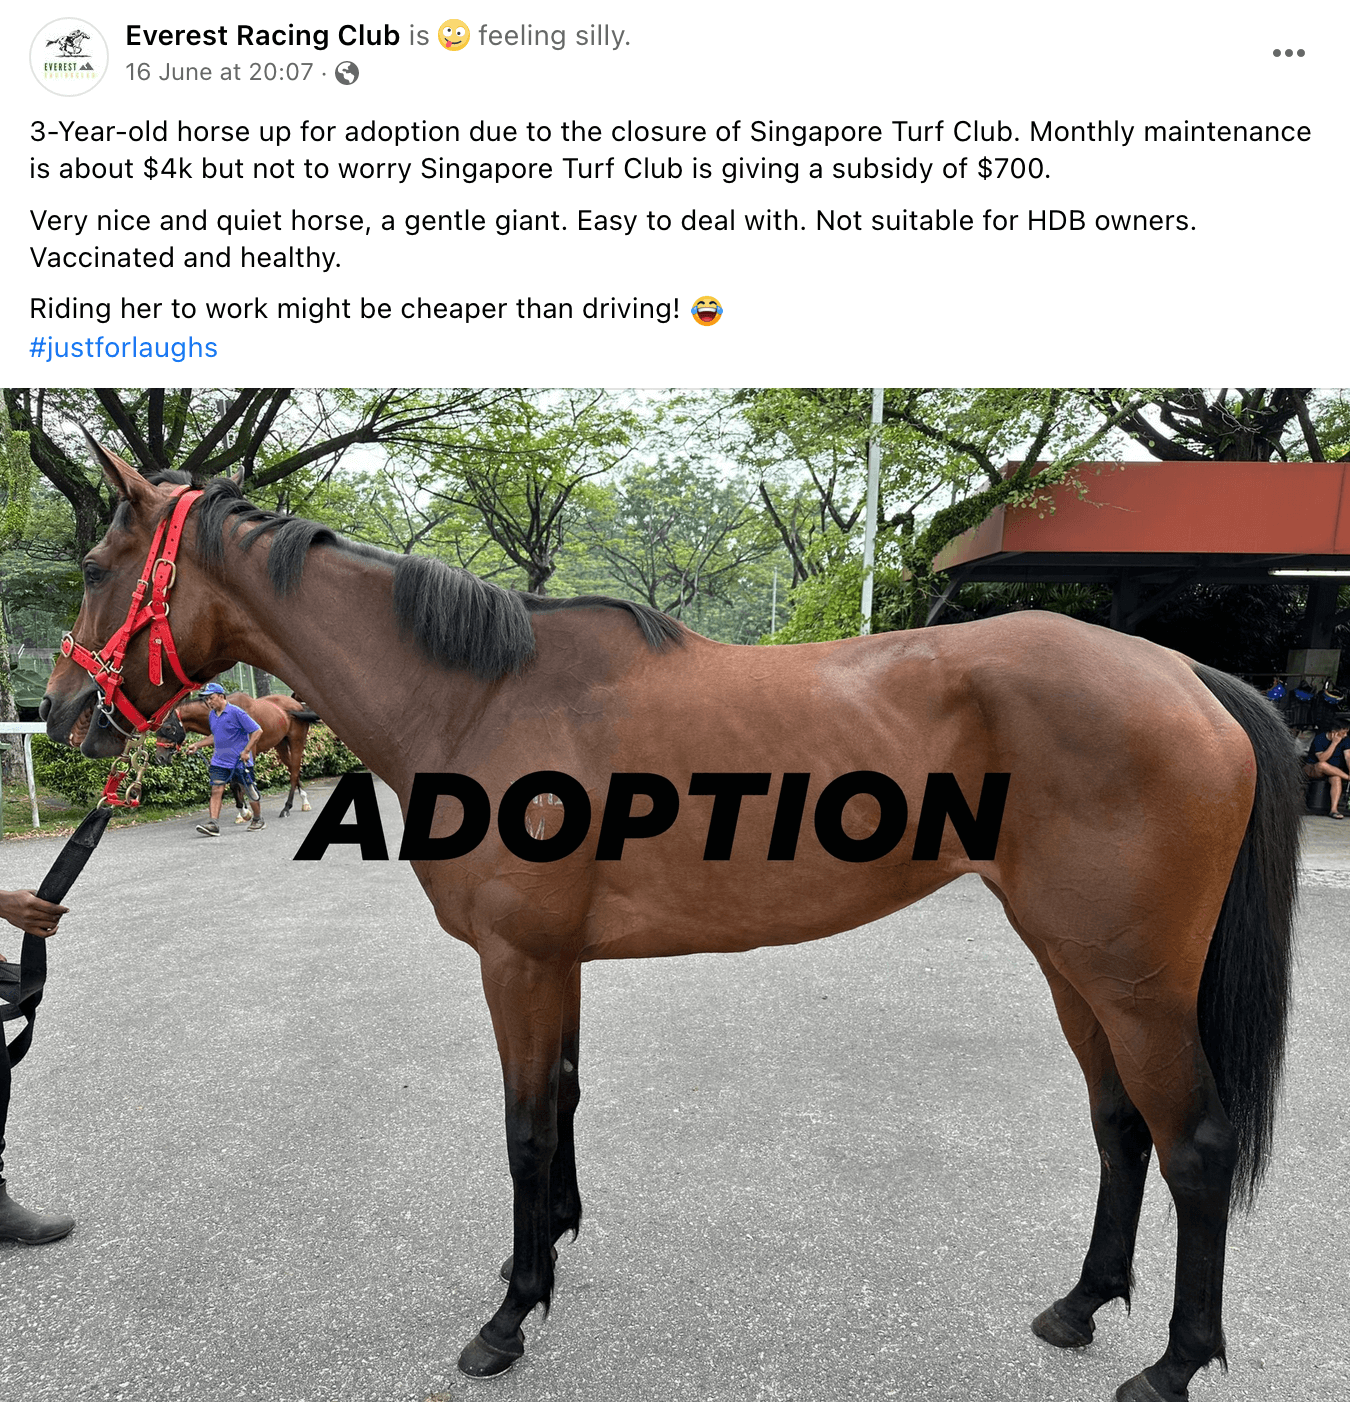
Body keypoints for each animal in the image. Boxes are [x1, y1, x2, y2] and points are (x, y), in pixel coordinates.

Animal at [155, 692, 320, 820]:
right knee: (293, 769)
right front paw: (243, 811)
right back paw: (304, 800)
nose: (159, 758)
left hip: (297, 741)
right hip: (280, 744)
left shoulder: (247, 753)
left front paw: (245, 811)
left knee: (295, 771)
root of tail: (297, 705)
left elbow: (240, 782)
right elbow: (232, 782)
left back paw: (287, 807)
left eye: (168, 728)